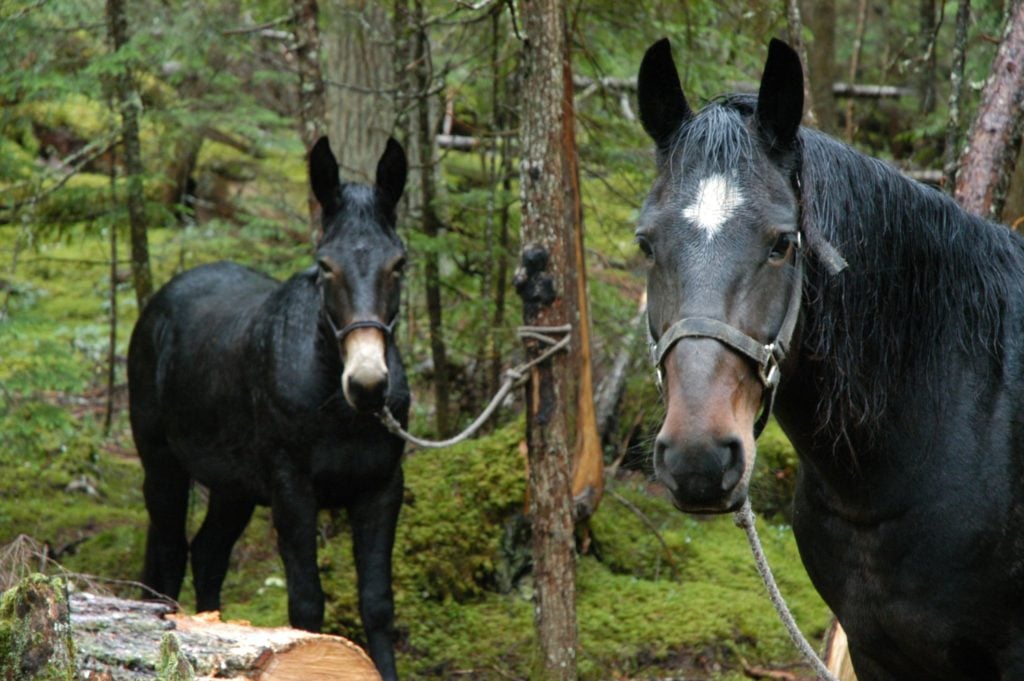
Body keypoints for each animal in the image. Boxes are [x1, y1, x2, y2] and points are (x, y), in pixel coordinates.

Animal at [130, 135, 409, 675]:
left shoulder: (382, 488)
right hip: (162, 466)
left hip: (232, 488)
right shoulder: (291, 488)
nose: (367, 384)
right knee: (170, 559)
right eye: (325, 266)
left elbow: (378, 604)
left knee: (208, 554)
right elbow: (306, 604)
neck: (335, 407)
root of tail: (159, 302)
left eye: (398, 264)